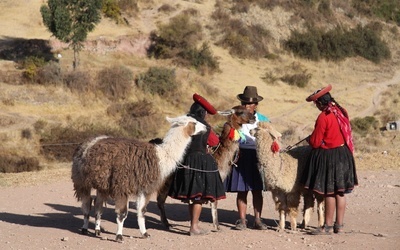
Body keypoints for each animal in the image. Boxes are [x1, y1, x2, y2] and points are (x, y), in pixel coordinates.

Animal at [70, 115, 206, 242]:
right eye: (194, 122)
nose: (206, 128)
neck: (160, 156)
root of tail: (88, 142)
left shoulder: (144, 188)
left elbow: (141, 211)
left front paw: (144, 233)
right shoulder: (122, 187)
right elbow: (122, 213)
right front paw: (119, 236)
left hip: (102, 184)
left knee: (98, 205)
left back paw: (97, 230)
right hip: (81, 180)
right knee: (87, 205)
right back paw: (85, 228)